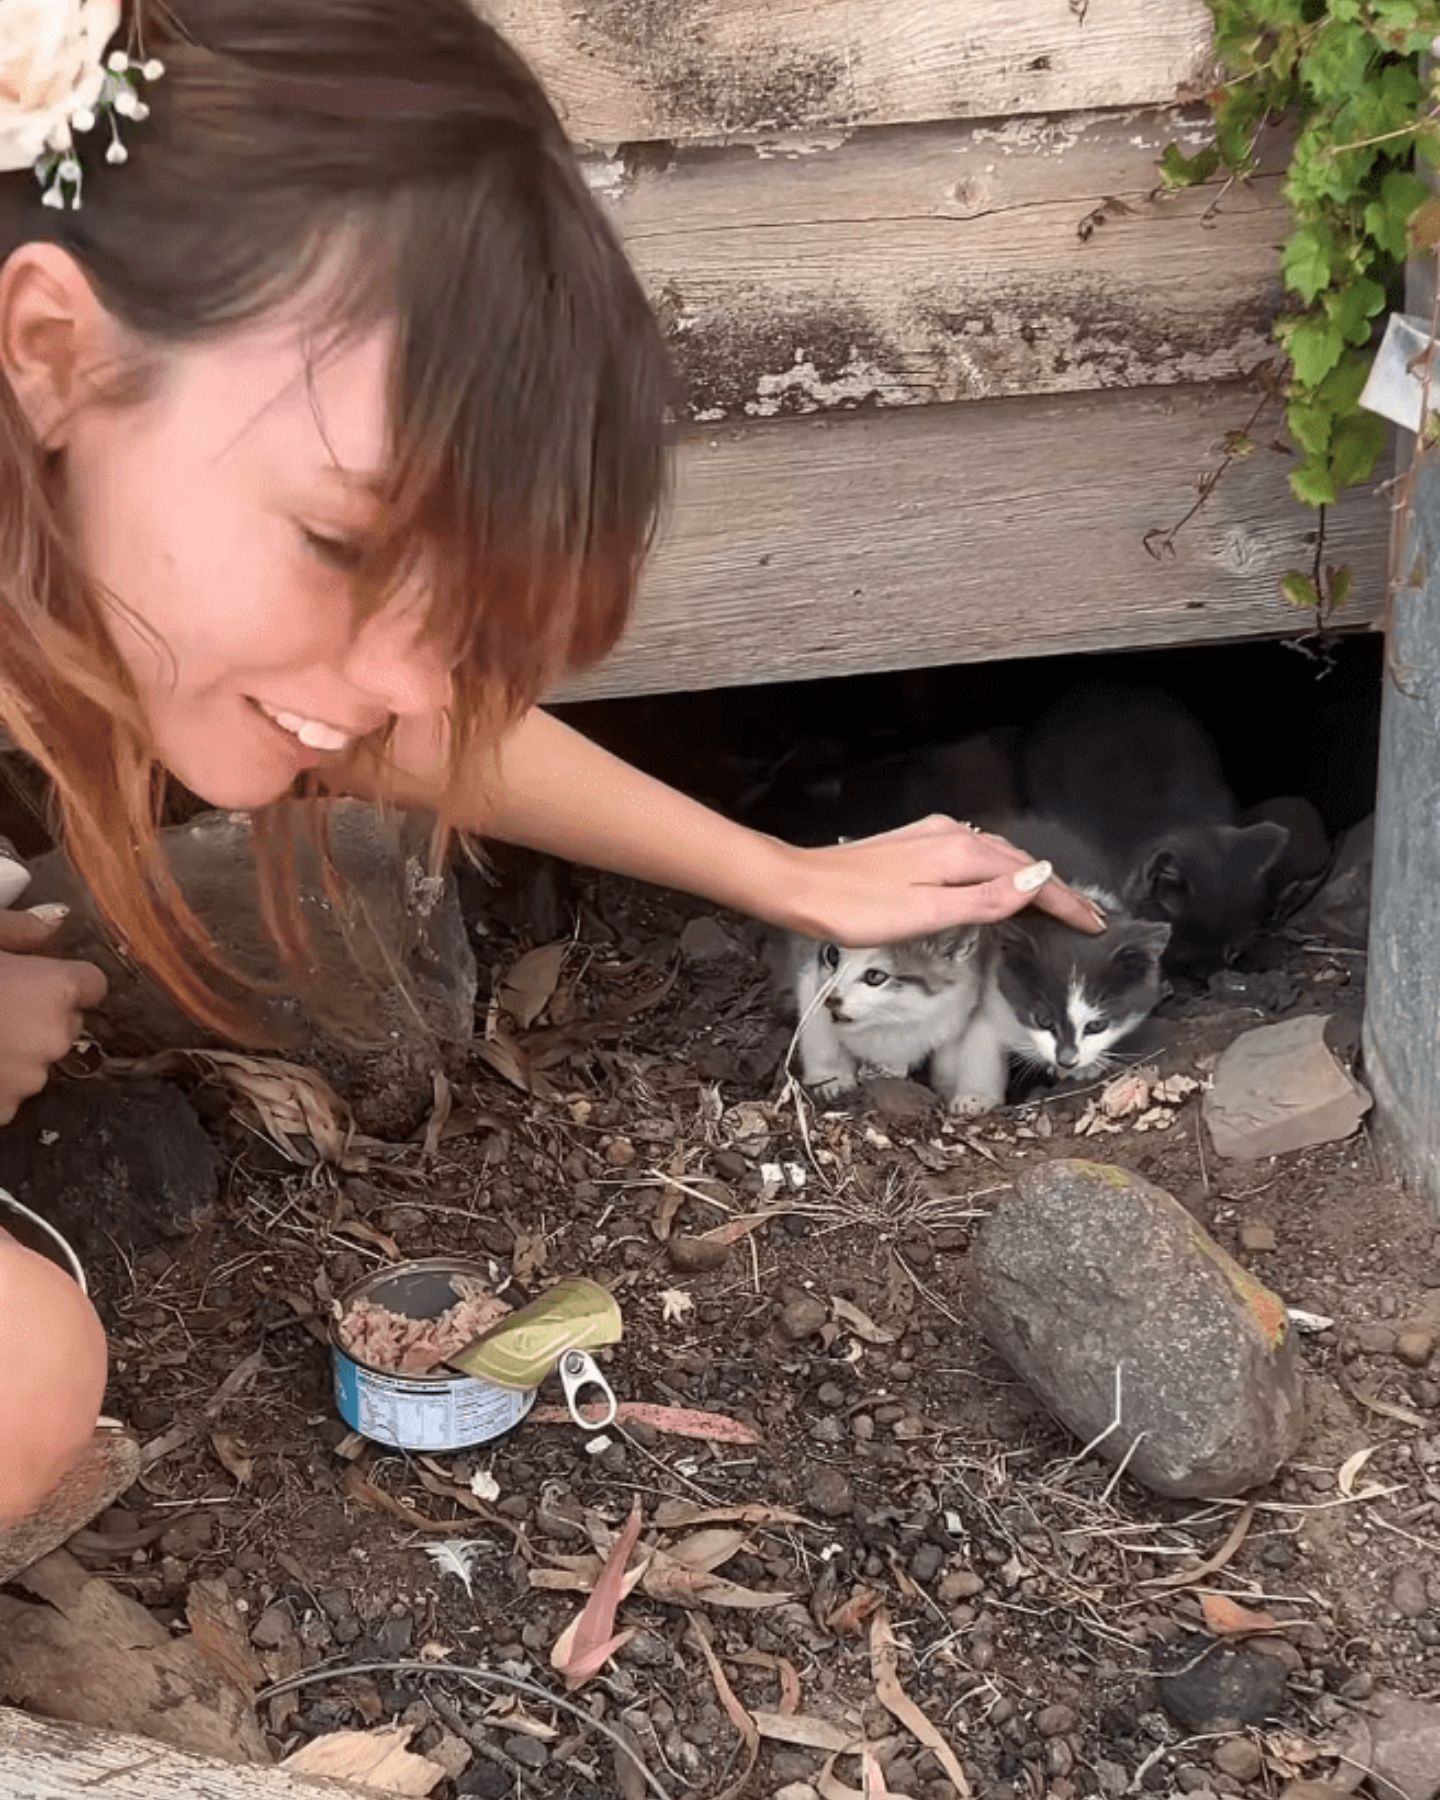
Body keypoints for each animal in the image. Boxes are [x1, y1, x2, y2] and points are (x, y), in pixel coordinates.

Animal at [781, 928, 993, 1108]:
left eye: (875, 976)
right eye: (832, 954)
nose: (830, 999)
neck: (889, 1020)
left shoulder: (959, 1006)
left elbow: (952, 1052)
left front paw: (969, 1094)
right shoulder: (810, 976)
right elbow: (821, 1037)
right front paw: (831, 1078)